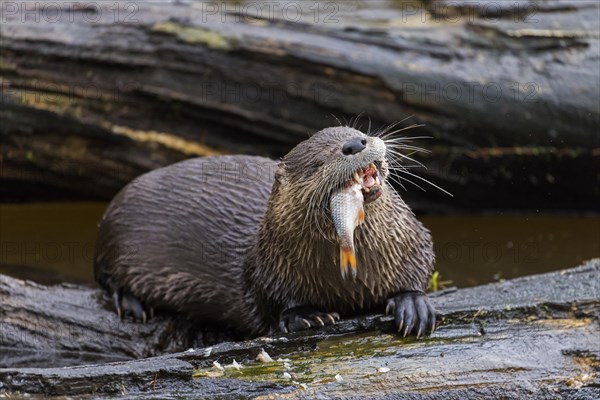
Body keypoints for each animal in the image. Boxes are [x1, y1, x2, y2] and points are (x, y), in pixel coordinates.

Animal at [96, 126, 438, 338]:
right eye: (318, 163)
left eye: (358, 132)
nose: (355, 144)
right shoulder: (266, 269)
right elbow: (272, 301)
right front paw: (304, 315)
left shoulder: (413, 240)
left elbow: (421, 266)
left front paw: (412, 303)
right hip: (114, 237)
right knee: (107, 276)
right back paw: (133, 304)